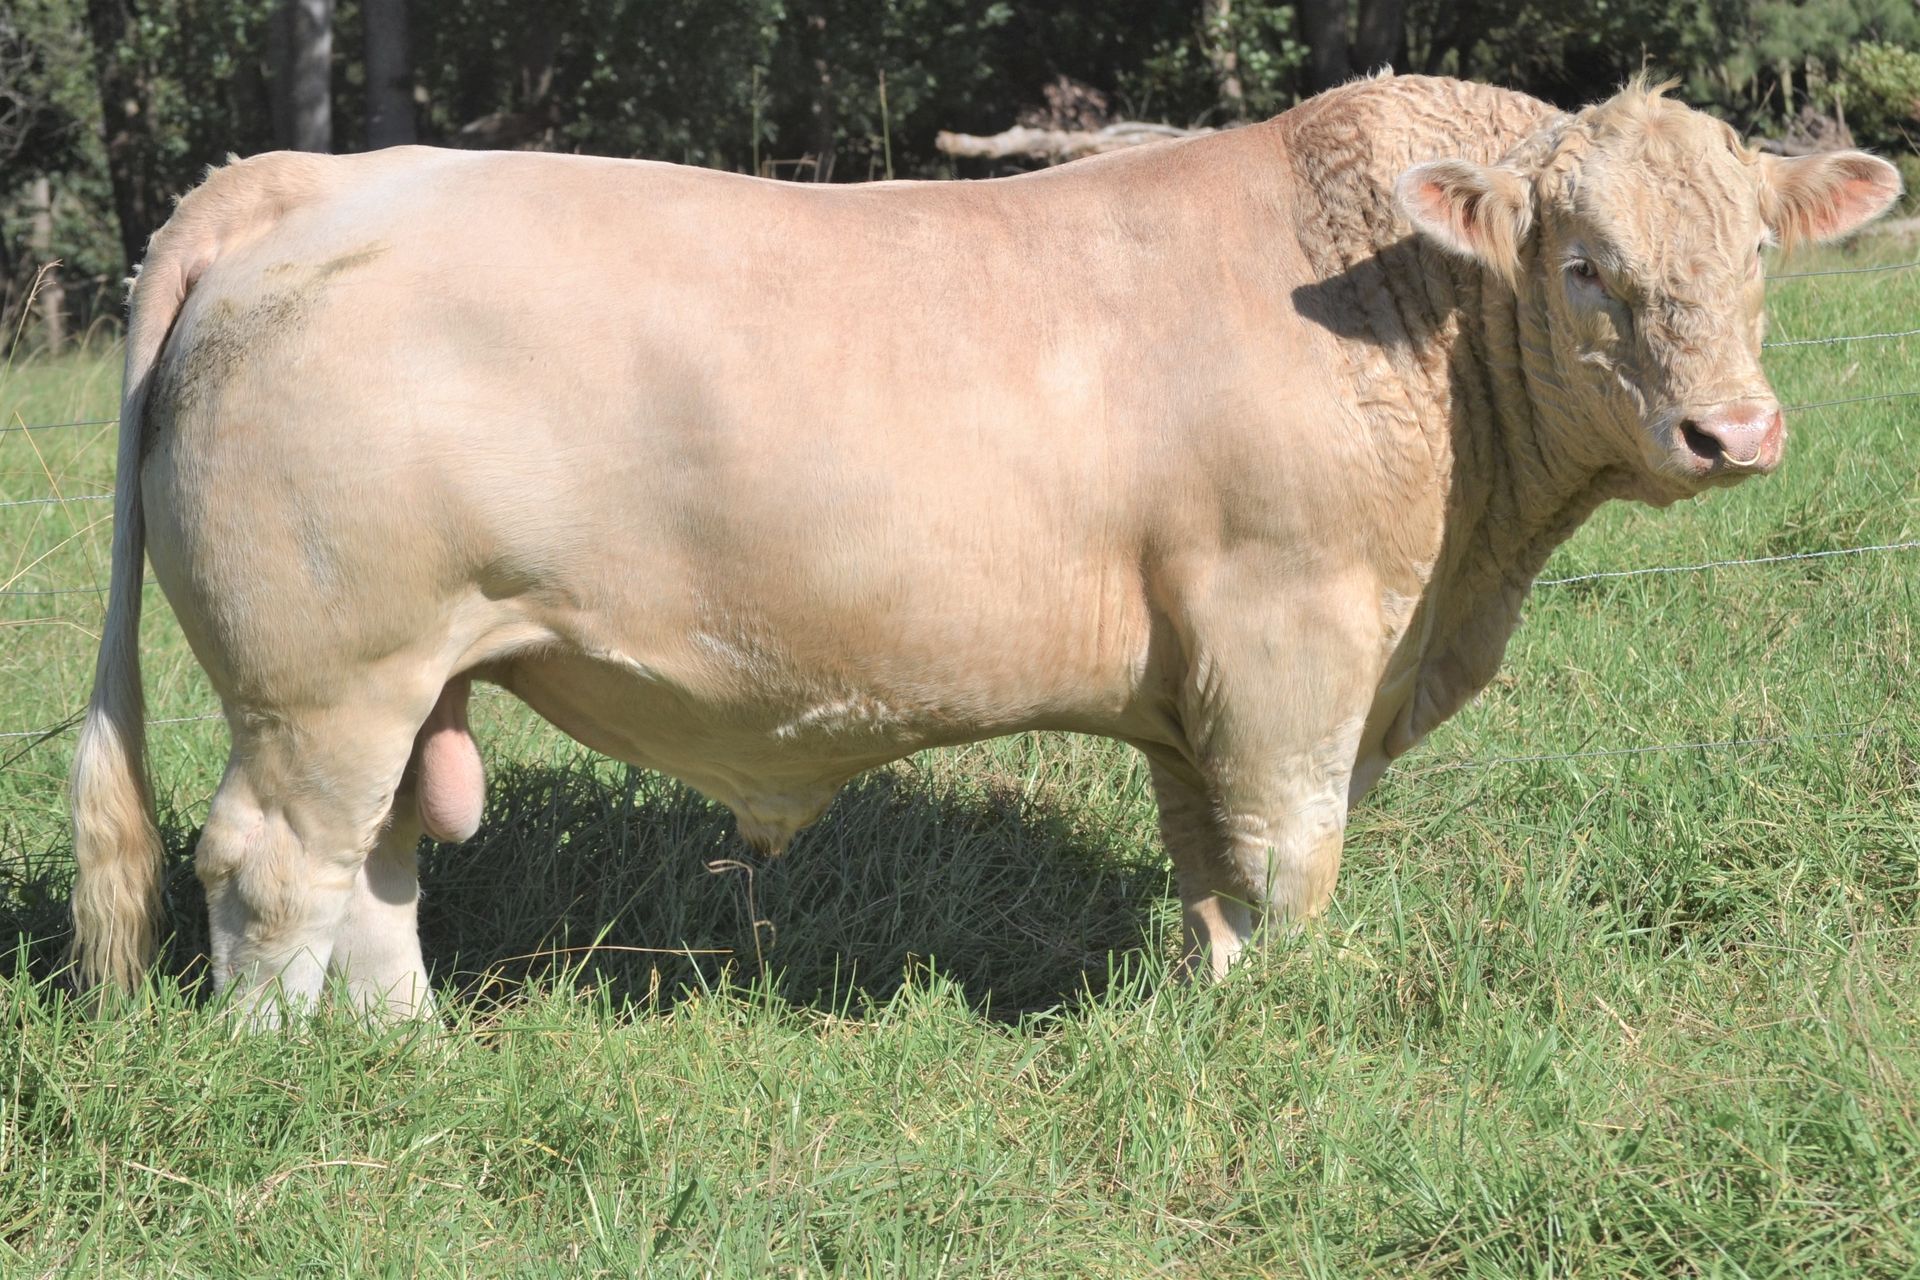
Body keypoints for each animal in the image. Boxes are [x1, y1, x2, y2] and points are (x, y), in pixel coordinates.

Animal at [69, 75, 1900, 1018]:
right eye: (1584, 263)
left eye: (1755, 251)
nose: (1735, 433)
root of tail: (300, 177)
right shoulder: (1289, 634)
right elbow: (1292, 855)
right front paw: (1293, 1027)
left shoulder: (1198, 680)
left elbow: (1210, 866)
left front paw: (1209, 1009)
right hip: (325, 678)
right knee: (274, 869)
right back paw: (291, 1070)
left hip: (403, 678)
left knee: (376, 874)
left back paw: (410, 1051)